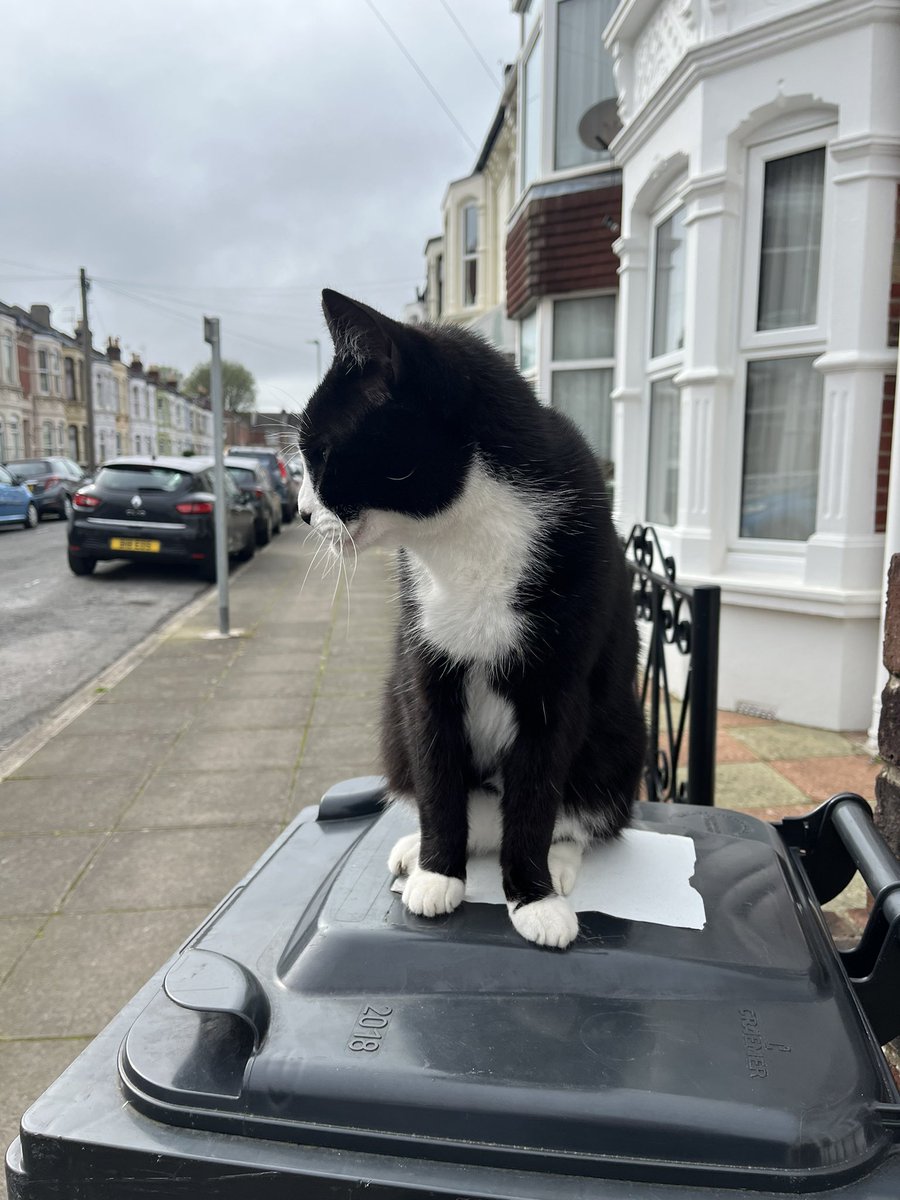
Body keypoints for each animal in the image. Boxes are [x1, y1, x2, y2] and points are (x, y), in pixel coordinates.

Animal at [300, 288, 643, 945]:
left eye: (320, 455)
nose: (303, 512)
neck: (463, 535)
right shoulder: (424, 669)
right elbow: (436, 767)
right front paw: (438, 872)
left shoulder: (557, 683)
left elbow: (537, 790)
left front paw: (533, 897)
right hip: (393, 727)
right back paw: (421, 848)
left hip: (619, 742)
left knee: (576, 812)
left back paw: (558, 861)